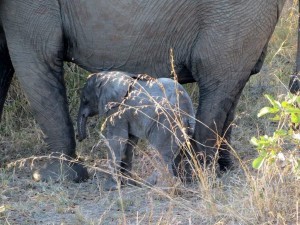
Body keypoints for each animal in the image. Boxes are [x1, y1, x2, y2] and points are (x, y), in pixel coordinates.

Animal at [0, 0, 286, 182]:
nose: (83, 137)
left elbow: (37, 58)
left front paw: (52, 178)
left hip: (233, 18)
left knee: (215, 85)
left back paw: (194, 176)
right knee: (231, 90)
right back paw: (224, 168)